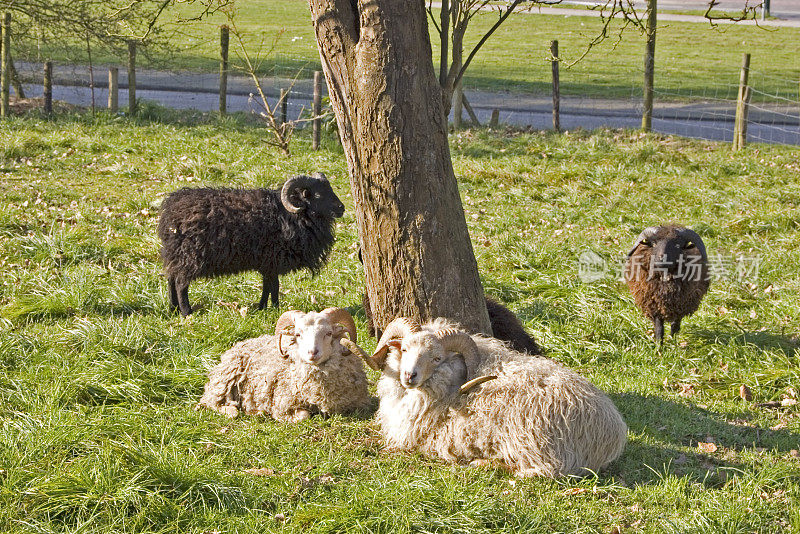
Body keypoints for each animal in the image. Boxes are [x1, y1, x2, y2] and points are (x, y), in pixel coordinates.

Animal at [197, 310, 372, 422]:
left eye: (328, 333)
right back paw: (236, 410)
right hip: (225, 379)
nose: (312, 352)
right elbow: (303, 416)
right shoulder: (282, 402)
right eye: (298, 334)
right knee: (211, 401)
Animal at [354, 320, 628, 480]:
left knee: (543, 472)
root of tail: (610, 430)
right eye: (404, 349)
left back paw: (483, 463)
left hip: (532, 439)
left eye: (437, 358)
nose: (409, 376)